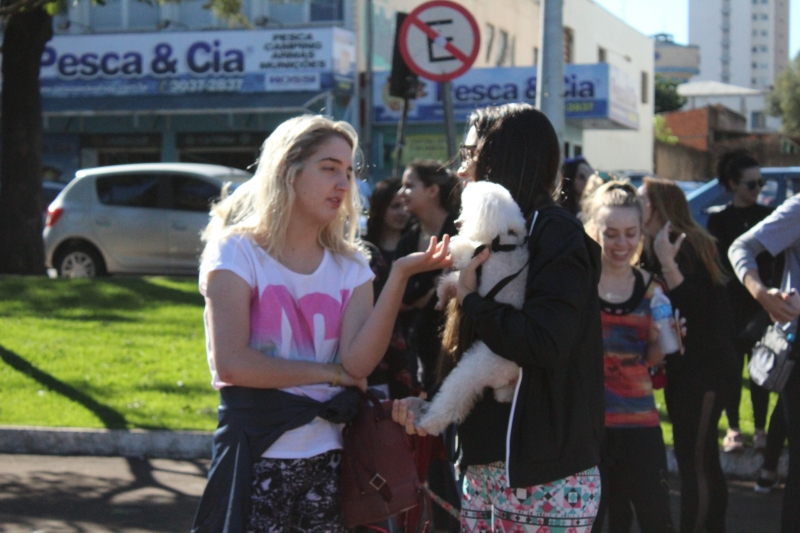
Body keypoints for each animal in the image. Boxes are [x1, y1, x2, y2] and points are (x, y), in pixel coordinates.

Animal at [415, 181, 530, 436]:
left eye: (468, 209)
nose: (457, 223)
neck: (503, 241)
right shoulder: (472, 273)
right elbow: (453, 281)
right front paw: (442, 296)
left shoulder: (475, 258)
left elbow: (461, 253)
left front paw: (449, 245)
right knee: (502, 391)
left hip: (474, 369)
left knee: (453, 399)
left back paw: (428, 423)